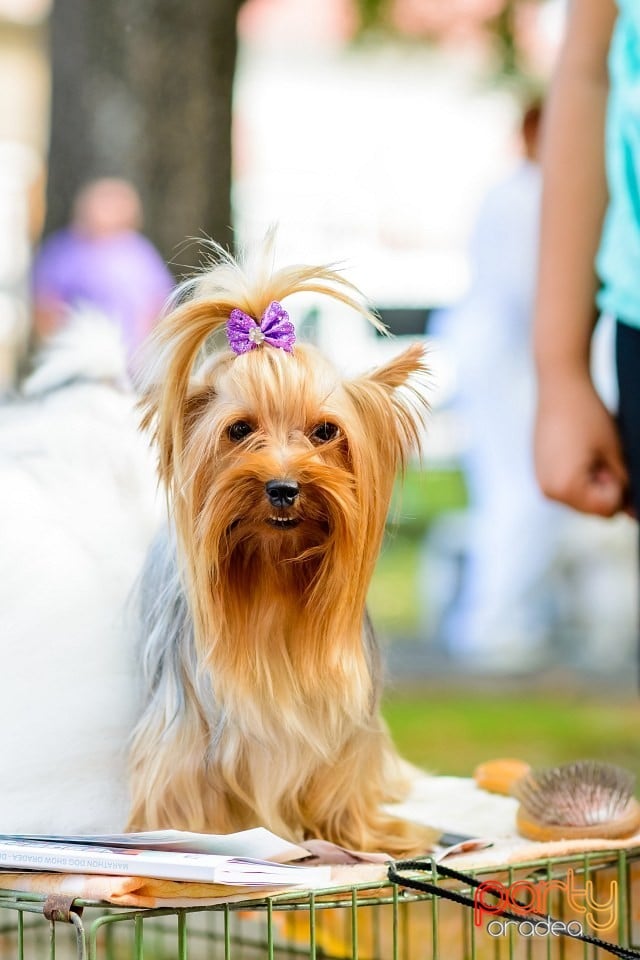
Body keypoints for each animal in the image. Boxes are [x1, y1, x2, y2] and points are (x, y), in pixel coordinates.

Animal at [127, 242, 432, 856]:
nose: (284, 487)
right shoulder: (185, 730)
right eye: (240, 430)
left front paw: (362, 833)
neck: (271, 574)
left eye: (325, 432)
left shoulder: (348, 726)